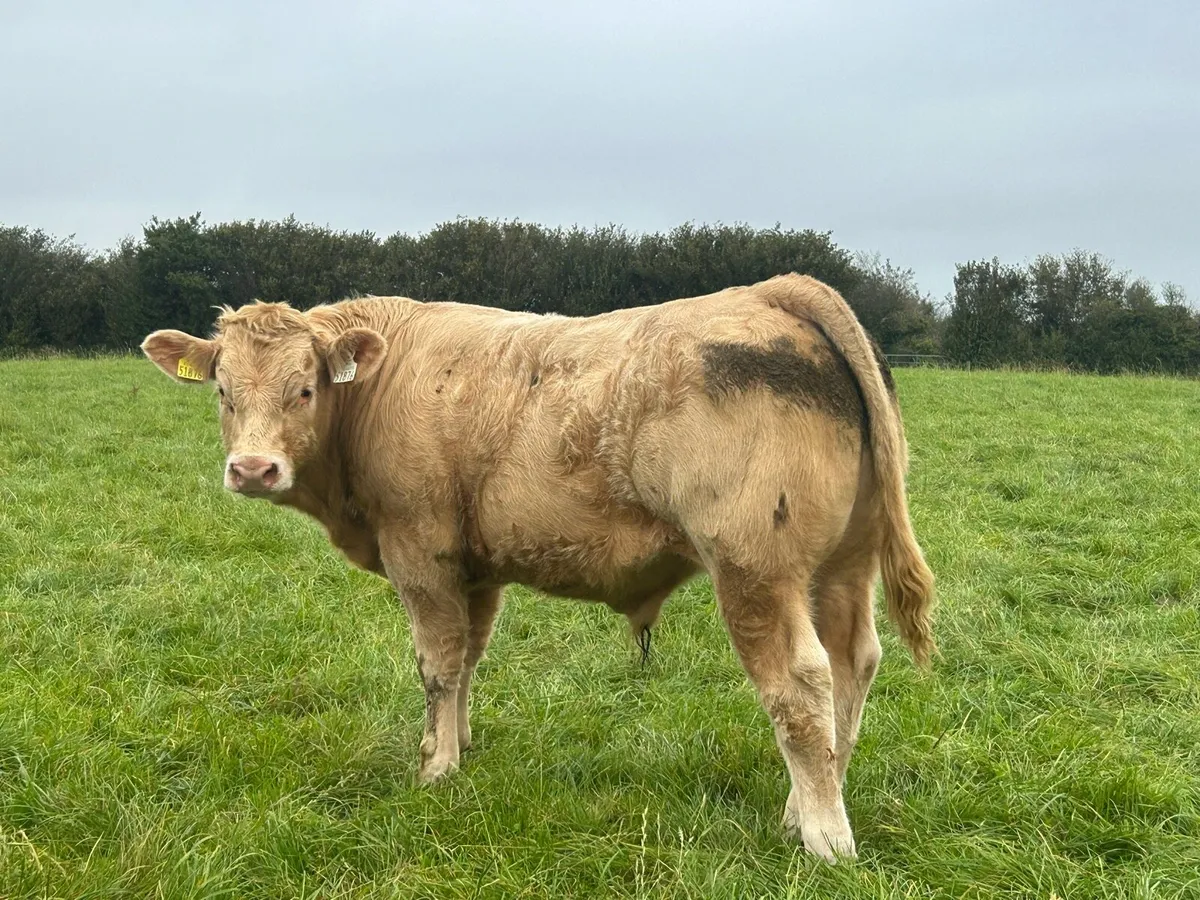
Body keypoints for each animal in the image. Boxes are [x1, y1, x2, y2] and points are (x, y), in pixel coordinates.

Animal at [140, 273, 935, 862]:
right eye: (222, 392)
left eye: (304, 389)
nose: (252, 469)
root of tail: (774, 291)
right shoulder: (476, 566)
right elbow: (468, 658)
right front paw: (459, 747)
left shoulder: (419, 552)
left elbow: (437, 664)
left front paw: (434, 770)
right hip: (840, 566)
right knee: (853, 664)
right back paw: (806, 806)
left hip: (756, 571)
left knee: (800, 685)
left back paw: (824, 837)